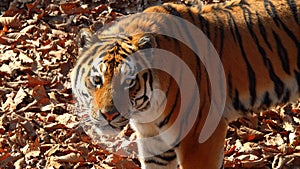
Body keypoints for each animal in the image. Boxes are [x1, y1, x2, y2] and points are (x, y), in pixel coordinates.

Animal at [71, 0, 300, 168]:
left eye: (130, 82)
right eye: (97, 79)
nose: (108, 115)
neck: (147, 111)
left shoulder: (199, 140)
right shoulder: (154, 143)